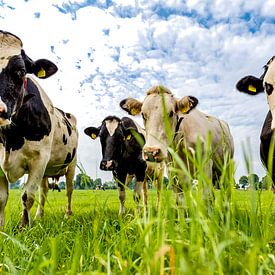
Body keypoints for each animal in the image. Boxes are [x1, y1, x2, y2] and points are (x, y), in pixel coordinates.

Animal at [0, 30, 78, 230]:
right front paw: (2, 228)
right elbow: (2, 198)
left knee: (69, 190)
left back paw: (67, 215)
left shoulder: (39, 159)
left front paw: (23, 227)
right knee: (44, 191)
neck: (10, 139)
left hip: (71, 165)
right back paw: (39, 216)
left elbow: (27, 196)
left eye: (21, 72)